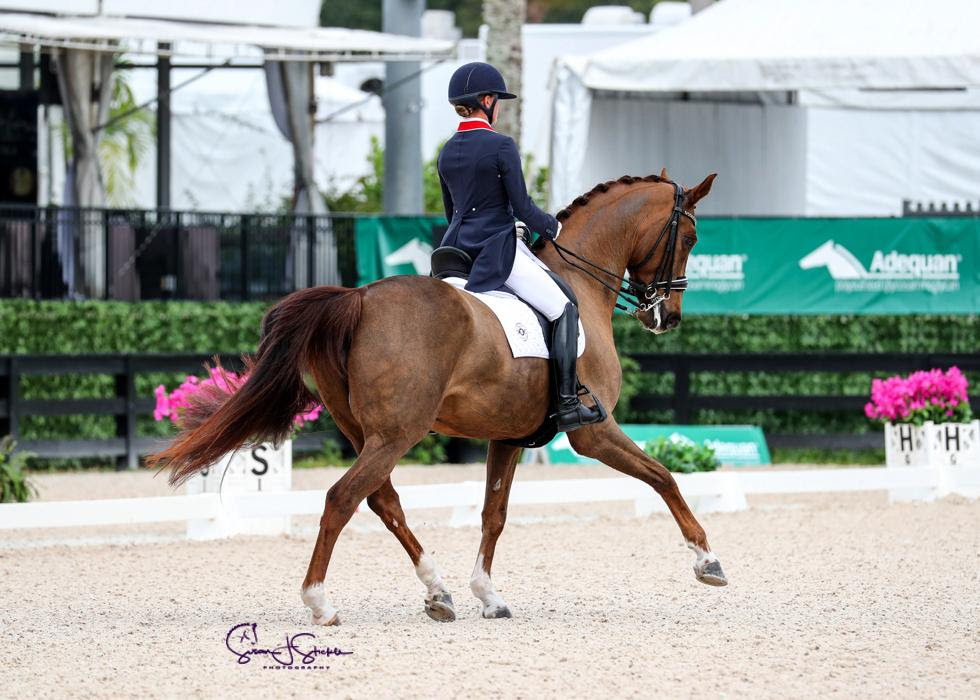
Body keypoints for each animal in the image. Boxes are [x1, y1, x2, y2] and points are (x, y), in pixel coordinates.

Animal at [147, 172, 728, 628]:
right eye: (691, 236)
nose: (667, 316)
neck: (578, 282)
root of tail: (357, 297)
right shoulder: (593, 431)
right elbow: (663, 476)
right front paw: (707, 560)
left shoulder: (508, 437)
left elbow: (494, 513)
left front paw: (488, 596)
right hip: (396, 433)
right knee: (342, 498)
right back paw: (320, 602)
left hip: (368, 433)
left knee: (383, 502)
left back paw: (438, 591)